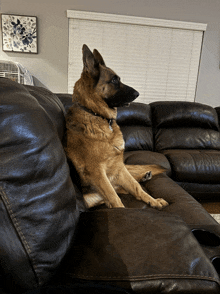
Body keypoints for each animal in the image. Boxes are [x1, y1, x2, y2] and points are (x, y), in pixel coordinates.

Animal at [65, 44, 168, 209]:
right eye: (114, 80)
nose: (138, 93)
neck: (97, 115)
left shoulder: (119, 167)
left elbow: (136, 188)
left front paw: (153, 200)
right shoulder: (97, 172)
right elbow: (115, 198)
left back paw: (145, 177)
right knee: (117, 191)